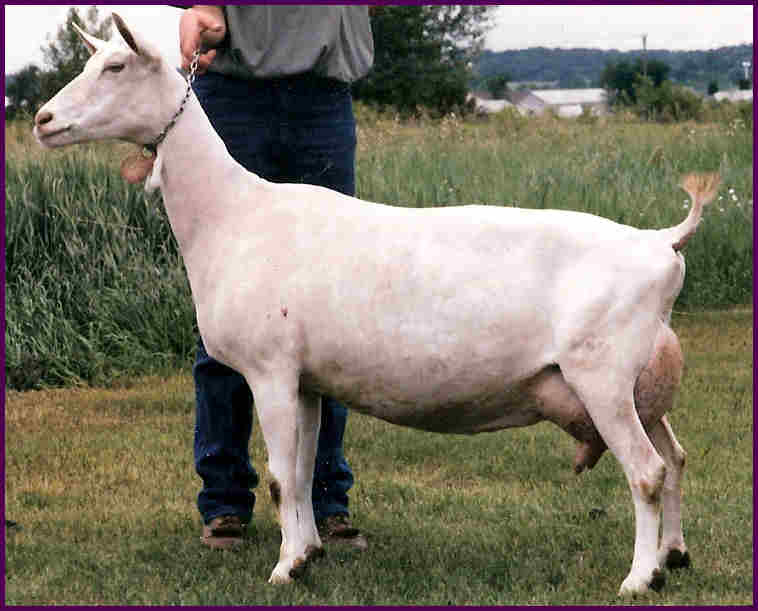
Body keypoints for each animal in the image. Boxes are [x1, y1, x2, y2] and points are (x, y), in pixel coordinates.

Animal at [34, 14, 718, 594]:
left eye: (116, 67)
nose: (42, 119)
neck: (232, 214)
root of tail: (662, 242)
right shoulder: (307, 381)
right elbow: (301, 472)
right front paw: (309, 552)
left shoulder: (270, 370)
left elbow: (279, 476)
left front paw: (285, 569)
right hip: (641, 384)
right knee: (676, 457)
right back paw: (674, 555)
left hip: (602, 376)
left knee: (647, 472)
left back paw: (640, 579)